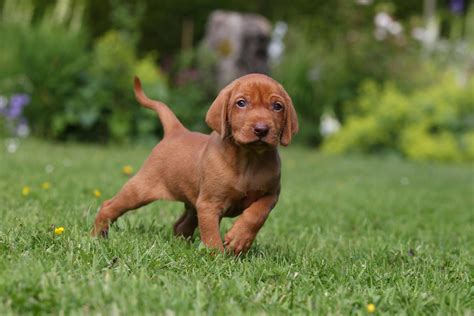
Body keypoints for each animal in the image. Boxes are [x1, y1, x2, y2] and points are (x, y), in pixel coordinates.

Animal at [92, 73, 298, 254]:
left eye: (277, 106)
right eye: (241, 103)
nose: (261, 129)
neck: (249, 158)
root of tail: (176, 130)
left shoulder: (271, 194)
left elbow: (257, 214)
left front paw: (239, 239)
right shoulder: (208, 204)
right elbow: (211, 236)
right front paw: (218, 259)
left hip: (192, 201)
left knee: (180, 225)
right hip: (141, 188)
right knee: (109, 206)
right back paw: (96, 236)